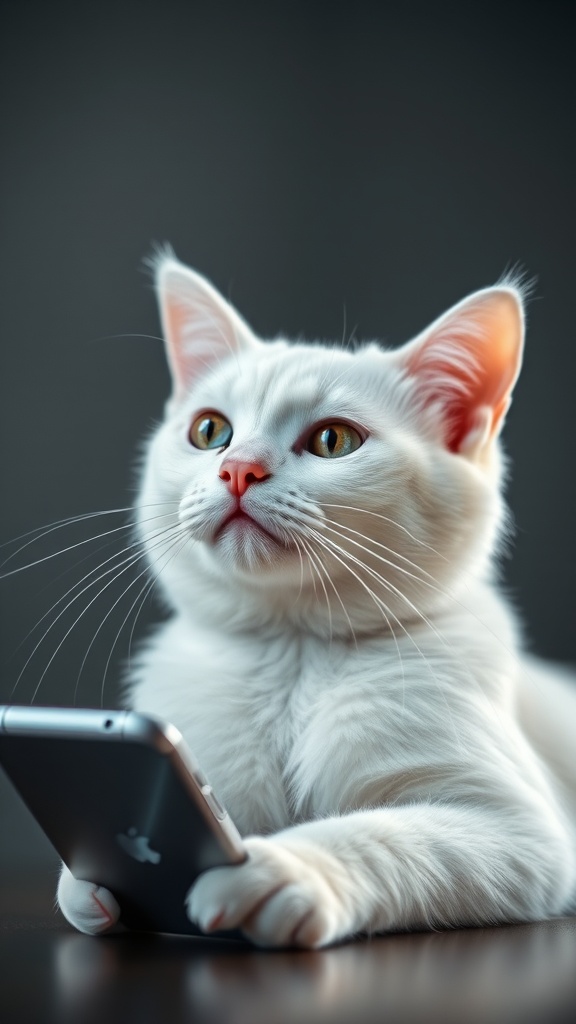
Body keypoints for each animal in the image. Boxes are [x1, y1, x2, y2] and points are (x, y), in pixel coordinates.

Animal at [57, 253, 573, 942]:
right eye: (210, 430)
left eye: (334, 440)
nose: (238, 468)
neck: (292, 649)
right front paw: (91, 875)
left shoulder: (519, 831)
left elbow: (384, 836)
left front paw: (281, 872)